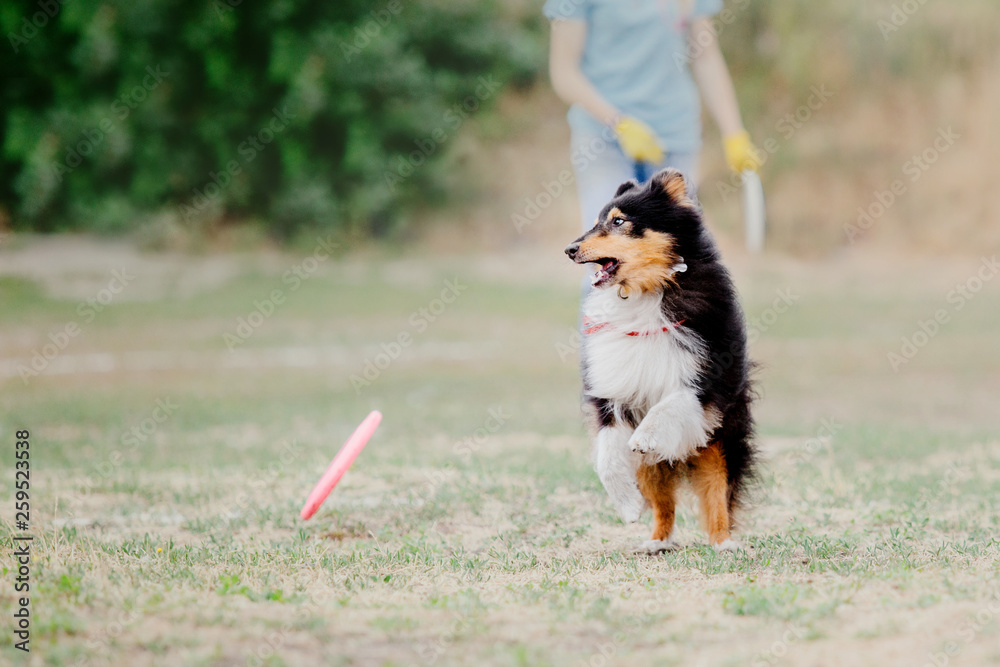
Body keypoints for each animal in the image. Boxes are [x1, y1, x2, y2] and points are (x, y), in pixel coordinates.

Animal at [564, 168, 756, 552]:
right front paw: (627, 504)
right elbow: (606, 457)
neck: (646, 291)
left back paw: (723, 542)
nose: (570, 249)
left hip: (719, 439)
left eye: (619, 221)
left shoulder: (705, 380)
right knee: (663, 504)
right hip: (654, 469)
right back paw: (656, 542)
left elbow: (670, 403)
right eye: (595, 222)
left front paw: (646, 436)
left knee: (718, 493)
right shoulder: (610, 390)